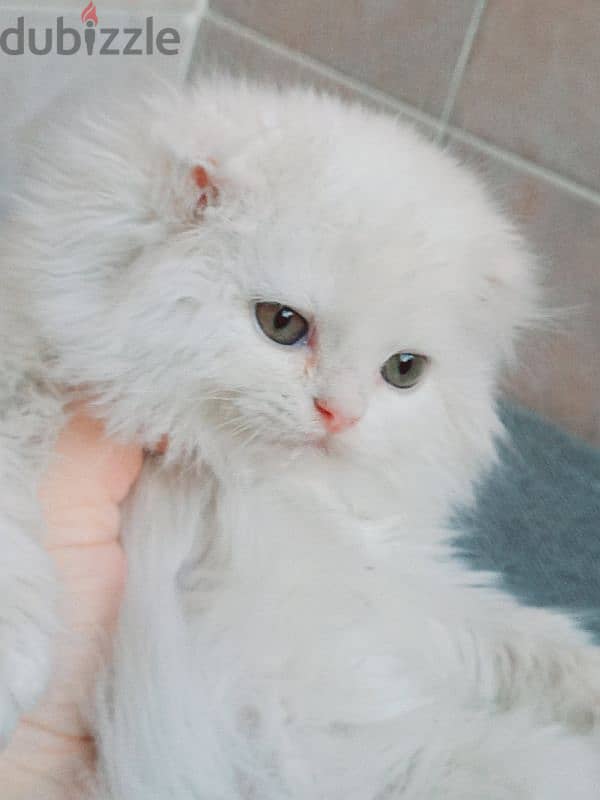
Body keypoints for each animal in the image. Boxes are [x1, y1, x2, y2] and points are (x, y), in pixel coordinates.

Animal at [1, 79, 600, 792]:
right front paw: (15, 657)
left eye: (404, 371)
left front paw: (586, 679)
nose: (339, 413)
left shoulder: (394, 576)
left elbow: (504, 630)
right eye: (281, 323)